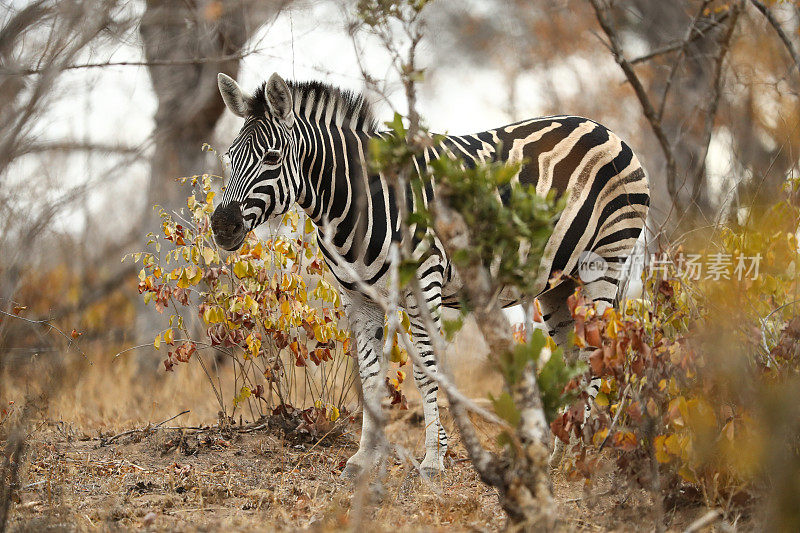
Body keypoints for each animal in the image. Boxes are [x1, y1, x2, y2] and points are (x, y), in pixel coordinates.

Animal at [211, 71, 648, 478]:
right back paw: (560, 456)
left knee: (595, 354)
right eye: (230, 156)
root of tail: (602, 127)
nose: (222, 226)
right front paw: (364, 459)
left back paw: (577, 458)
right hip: (558, 283)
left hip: (605, 259)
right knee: (575, 355)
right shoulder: (358, 298)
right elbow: (370, 377)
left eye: (271, 157)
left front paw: (434, 461)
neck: (357, 201)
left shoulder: (424, 282)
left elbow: (427, 371)